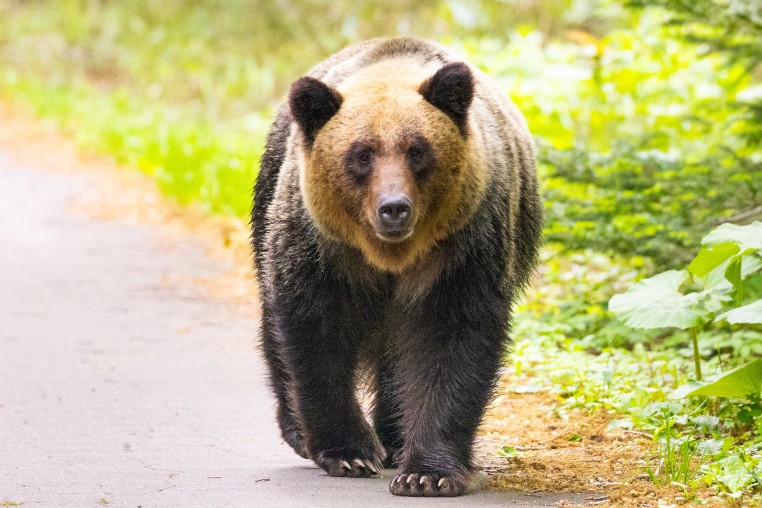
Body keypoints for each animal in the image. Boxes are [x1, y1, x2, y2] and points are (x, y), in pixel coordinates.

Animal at [252, 37, 542, 497]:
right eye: (362, 154)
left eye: (417, 150)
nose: (394, 208)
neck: (389, 256)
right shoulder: (321, 249)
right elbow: (316, 333)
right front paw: (349, 453)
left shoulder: (461, 251)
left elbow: (451, 342)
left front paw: (428, 472)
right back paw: (300, 431)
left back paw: (393, 436)